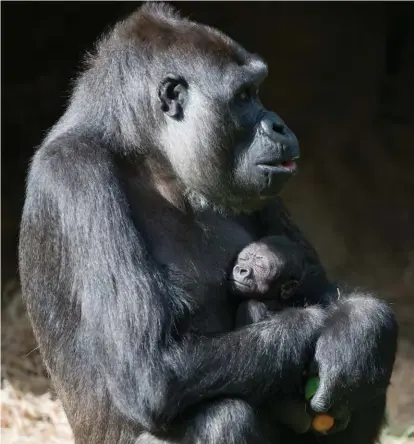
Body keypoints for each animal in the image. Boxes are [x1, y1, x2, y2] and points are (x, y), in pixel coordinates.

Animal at [19, 3, 398, 444]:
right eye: (244, 96)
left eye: (255, 90)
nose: (278, 125)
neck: (150, 156)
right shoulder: (77, 175)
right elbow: (151, 372)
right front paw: (326, 325)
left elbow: (322, 287)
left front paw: (357, 329)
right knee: (224, 415)